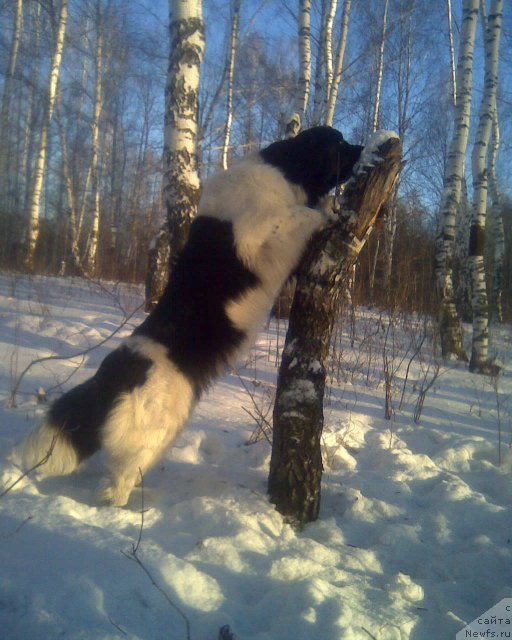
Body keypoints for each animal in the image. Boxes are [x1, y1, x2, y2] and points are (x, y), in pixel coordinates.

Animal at [13, 126, 364, 504]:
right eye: (339, 143)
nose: (362, 148)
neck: (285, 169)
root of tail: (113, 373)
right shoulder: (257, 232)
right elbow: (300, 213)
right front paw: (327, 209)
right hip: (152, 431)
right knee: (116, 484)